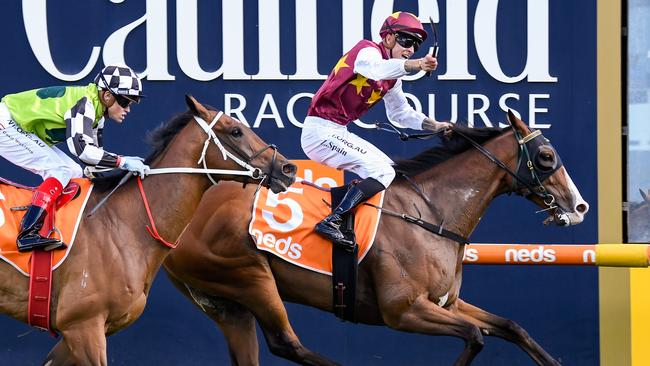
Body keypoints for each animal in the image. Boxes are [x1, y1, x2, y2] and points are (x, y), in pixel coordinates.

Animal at [162, 110, 588, 364]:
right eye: (546, 157)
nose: (579, 206)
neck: (430, 214)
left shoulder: (447, 303)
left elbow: (511, 327)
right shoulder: (403, 310)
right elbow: (474, 337)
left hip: (228, 304)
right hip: (248, 276)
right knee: (286, 342)